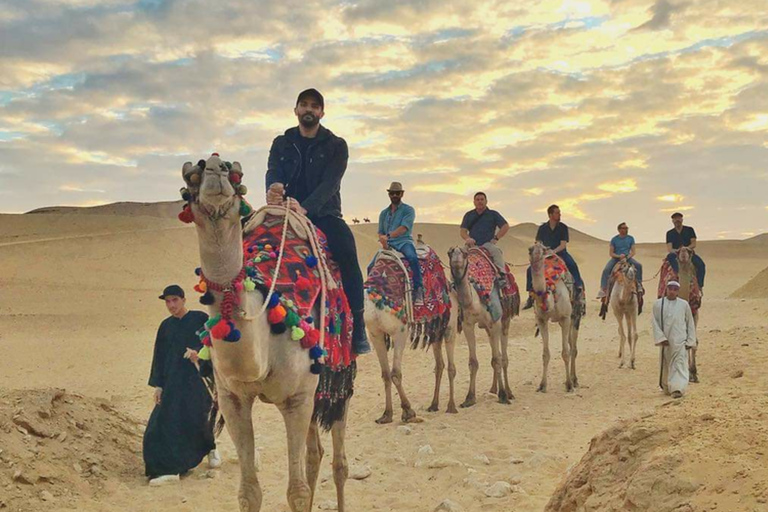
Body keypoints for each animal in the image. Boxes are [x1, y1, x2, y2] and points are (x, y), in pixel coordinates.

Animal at [180, 156, 352, 512]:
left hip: (338, 376)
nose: (214, 168)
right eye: (190, 179)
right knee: (315, 454)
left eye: (236, 175)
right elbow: (249, 491)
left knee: (339, 462)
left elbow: (296, 491)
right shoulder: (232, 399)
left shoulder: (297, 399)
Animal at [368, 244, 460, 424]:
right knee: (440, 365)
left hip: (447, 327)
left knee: (450, 366)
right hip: (437, 330)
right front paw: (387, 414)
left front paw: (407, 411)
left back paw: (451, 406)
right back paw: (434, 405)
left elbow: (394, 374)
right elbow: (385, 374)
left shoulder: (399, 333)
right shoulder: (375, 335)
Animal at [448, 246, 512, 406]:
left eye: (464, 254)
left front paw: (503, 396)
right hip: (488, 329)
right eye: (450, 252)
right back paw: (493, 389)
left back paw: (508, 392)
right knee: (497, 354)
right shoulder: (467, 325)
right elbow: (473, 362)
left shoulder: (494, 322)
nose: (456, 260)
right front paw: (469, 398)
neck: (474, 301)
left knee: (503, 357)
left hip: (505, 321)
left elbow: (497, 360)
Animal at [524, 243, 584, 392]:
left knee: (573, 348)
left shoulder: (565, 318)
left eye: (543, 250)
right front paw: (542, 385)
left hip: (575, 317)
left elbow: (565, 353)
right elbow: (545, 354)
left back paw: (574, 380)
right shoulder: (541, 320)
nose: (536, 258)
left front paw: (569, 385)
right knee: (571, 344)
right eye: (530, 250)